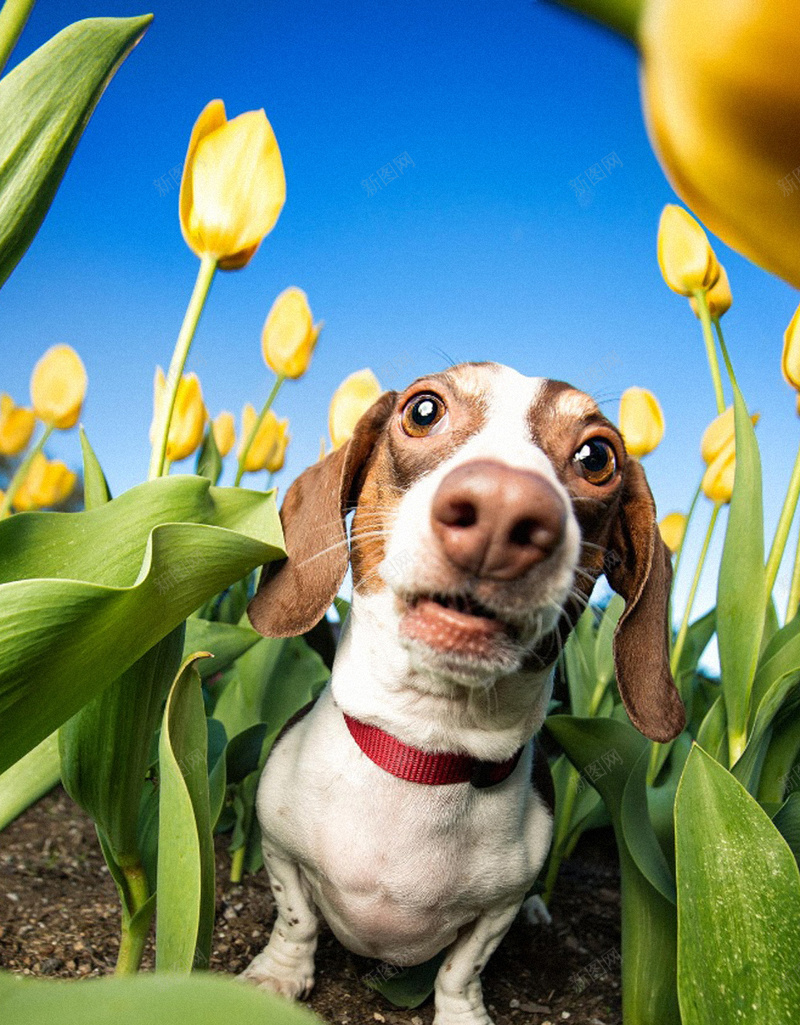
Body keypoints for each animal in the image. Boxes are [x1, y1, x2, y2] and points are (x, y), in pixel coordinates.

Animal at [242, 362, 681, 1025]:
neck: (426, 750)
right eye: (423, 410)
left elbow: (462, 966)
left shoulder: (495, 910)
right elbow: (296, 920)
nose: (504, 507)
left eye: (597, 455)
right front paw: (278, 976)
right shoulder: (277, 848)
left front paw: (461, 1012)